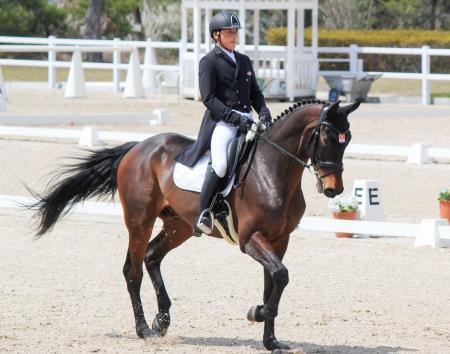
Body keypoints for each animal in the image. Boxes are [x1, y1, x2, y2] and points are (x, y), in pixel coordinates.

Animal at [28, 99, 360, 352]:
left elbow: (273, 282)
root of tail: (138, 147)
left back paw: (162, 319)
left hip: (180, 226)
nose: (334, 190)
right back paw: (143, 329)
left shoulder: (279, 240)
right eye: (328, 139)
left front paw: (271, 340)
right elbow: (280, 276)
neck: (272, 170)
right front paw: (256, 313)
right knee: (132, 270)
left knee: (152, 256)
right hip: (140, 220)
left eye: (348, 140)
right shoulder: (251, 239)